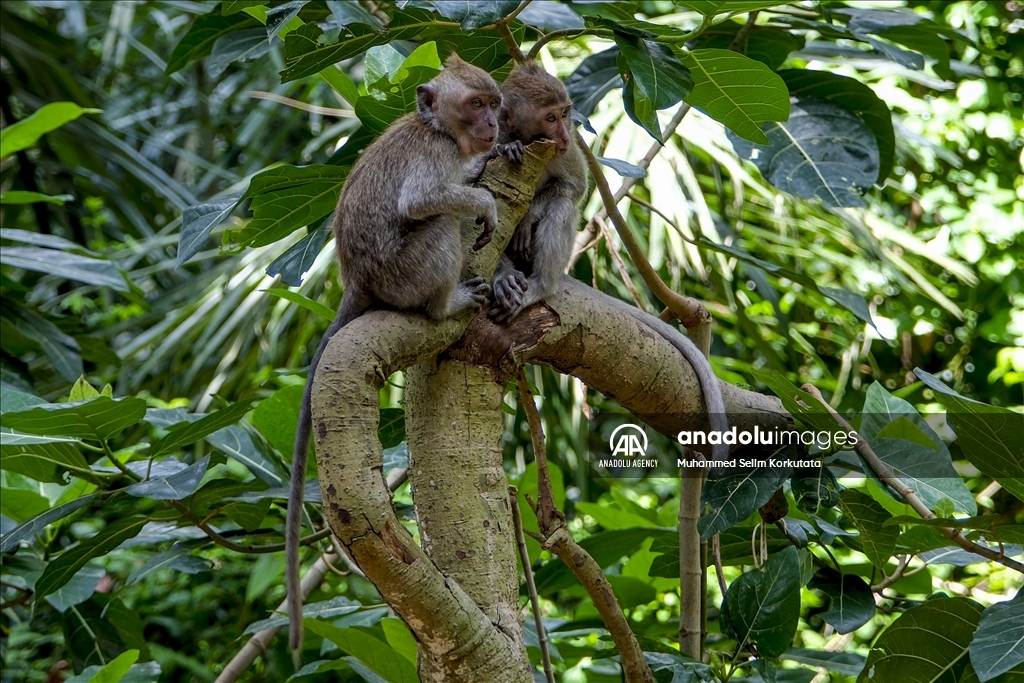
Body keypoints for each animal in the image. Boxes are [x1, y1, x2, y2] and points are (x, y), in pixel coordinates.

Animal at [286, 56, 501, 659]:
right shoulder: (436, 155)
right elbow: (422, 202)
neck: (438, 129)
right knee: (440, 223)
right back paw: (445, 302)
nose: (494, 126)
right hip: (405, 273)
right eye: (476, 104)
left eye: (495, 103)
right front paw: (485, 200)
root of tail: (357, 279)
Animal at [487, 61, 729, 462]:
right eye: (550, 117)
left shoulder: (565, 151)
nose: (565, 133)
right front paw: (508, 147)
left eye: (565, 114)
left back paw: (539, 286)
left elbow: (574, 189)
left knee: (561, 206)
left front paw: (528, 217)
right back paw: (504, 276)